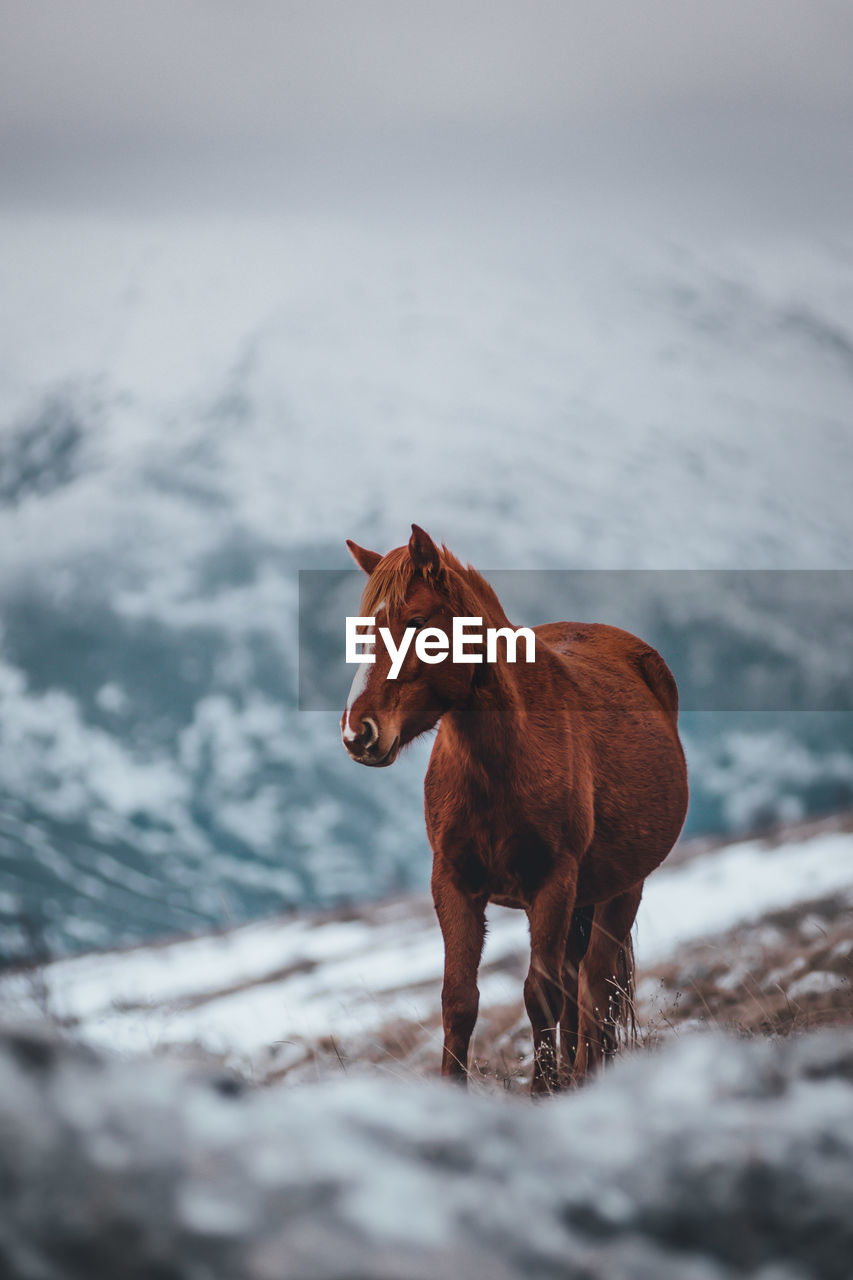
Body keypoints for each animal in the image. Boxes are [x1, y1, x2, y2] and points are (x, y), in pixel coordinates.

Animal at [338, 522, 686, 1090]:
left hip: (621, 888)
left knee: (595, 988)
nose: (358, 733)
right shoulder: (453, 883)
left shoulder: (553, 883)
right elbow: (459, 1000)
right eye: (361, 632)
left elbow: (540, 996)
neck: (501, 766)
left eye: (416, 622)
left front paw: (544, 1092)